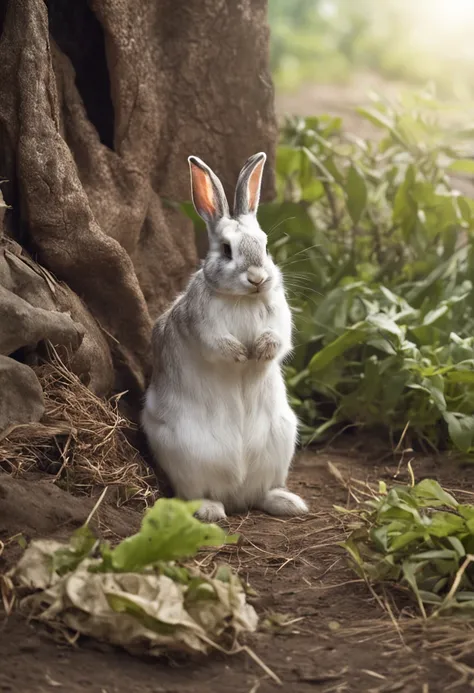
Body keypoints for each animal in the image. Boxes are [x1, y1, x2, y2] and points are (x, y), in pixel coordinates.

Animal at [143, 150, 310, 520]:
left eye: (265, 245)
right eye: (226, 249)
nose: (258, 278)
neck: (242, 298)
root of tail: (236, 492)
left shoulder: (280, 321)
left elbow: (279, 340)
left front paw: (259, 351)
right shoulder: (204, 328)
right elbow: (217, 345)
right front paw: (241, 355)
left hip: (281, 440)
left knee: (262, 493)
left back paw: (289, 503)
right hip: (184, 455)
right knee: (195, 494)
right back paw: (211, 510)